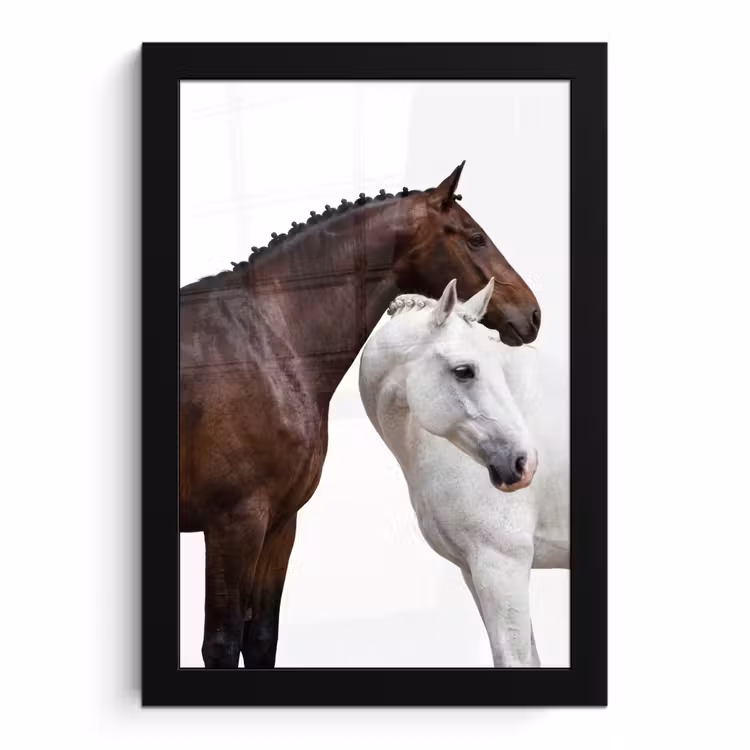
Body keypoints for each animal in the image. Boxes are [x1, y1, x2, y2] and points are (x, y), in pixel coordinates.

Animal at [180, 162, 541, 668]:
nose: (533, 314)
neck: (263, 342)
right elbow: (222, 643)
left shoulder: (279, 524)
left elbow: (262, 638)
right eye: (475, 238)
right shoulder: (233, 524)